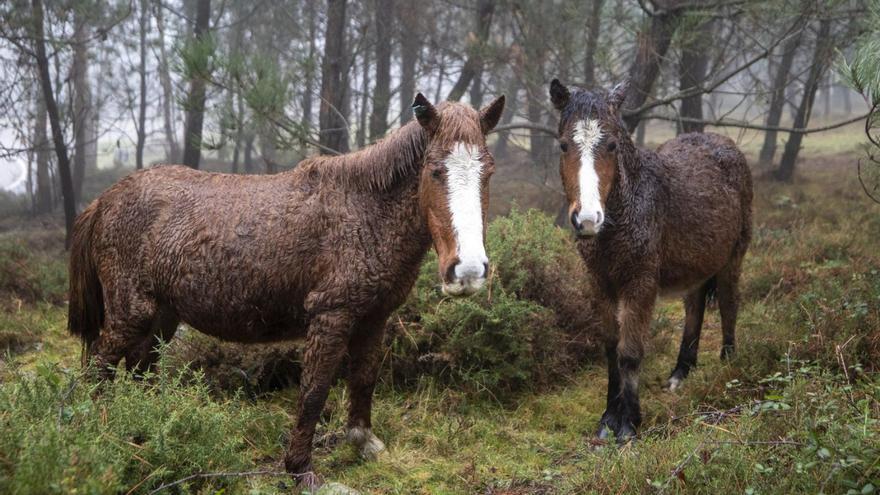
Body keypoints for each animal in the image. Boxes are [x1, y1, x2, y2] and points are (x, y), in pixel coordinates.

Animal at [67, 94, 508, 488]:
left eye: (488, 172)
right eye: (435, 171)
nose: (468, 270)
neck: (363, 212)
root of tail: (103, 201)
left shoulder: (374, 317)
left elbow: (364, 378)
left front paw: (363, 442)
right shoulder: (331, 316)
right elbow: (314, 391)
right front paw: (300, 470)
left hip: (162, 317)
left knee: (140, 369)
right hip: (130, 314)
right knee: (97, 370)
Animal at [552, 80, 748, 442]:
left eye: (612, 144)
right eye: (563, 145)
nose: (587, 219)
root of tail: (724, 142)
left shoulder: (640, 283)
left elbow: (630, 352)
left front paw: (629, 424)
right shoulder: (599, 283)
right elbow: (611, 349)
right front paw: (608, 418)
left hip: (733, 258)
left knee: (729, 304)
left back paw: (729, 364)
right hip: (695, 266)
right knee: (694, 308)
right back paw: (680, 372)